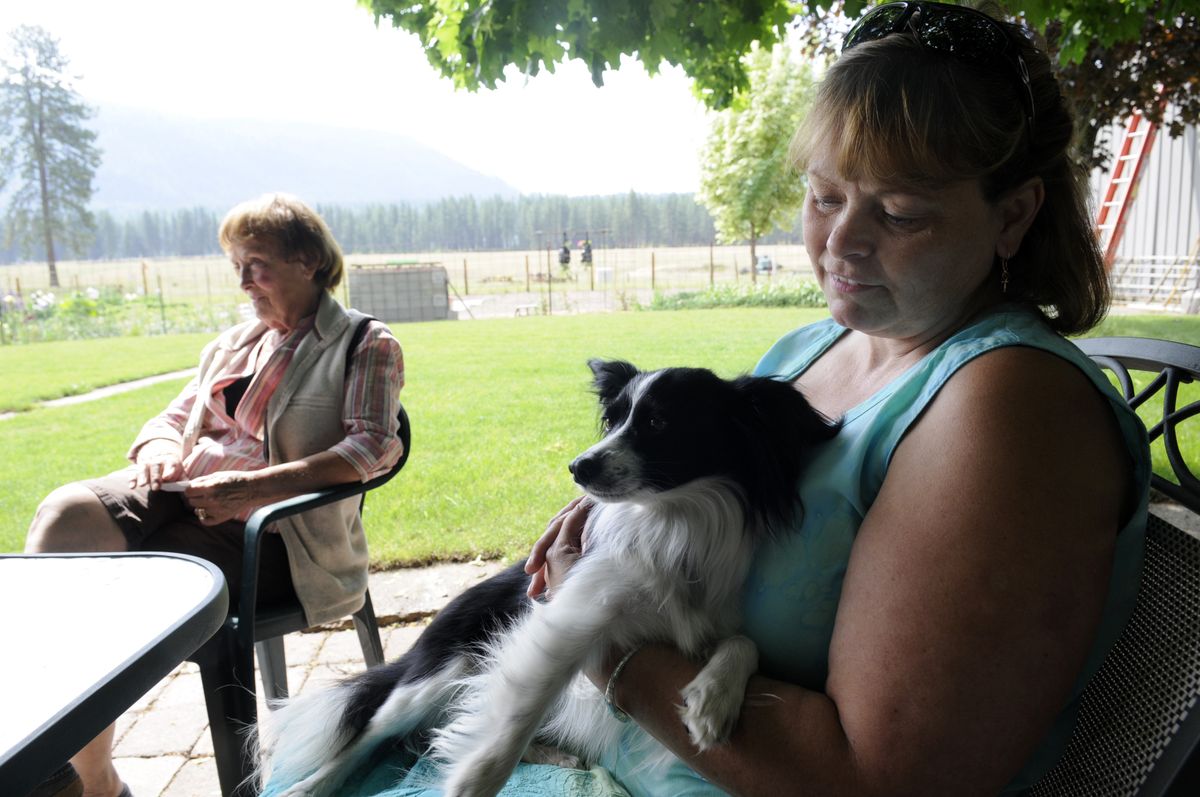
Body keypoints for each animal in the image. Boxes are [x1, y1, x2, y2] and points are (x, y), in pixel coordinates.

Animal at [262, 360, 840, 797]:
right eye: (613, 420)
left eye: (658, 424)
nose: (578, 467)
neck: (672, 520)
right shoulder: (572, 617)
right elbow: (518, 712)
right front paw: (473, 783)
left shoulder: (706, 623)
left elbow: (744, 643)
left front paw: (713, 698)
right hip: (436, 676)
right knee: (374, 734)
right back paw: (310, 786)